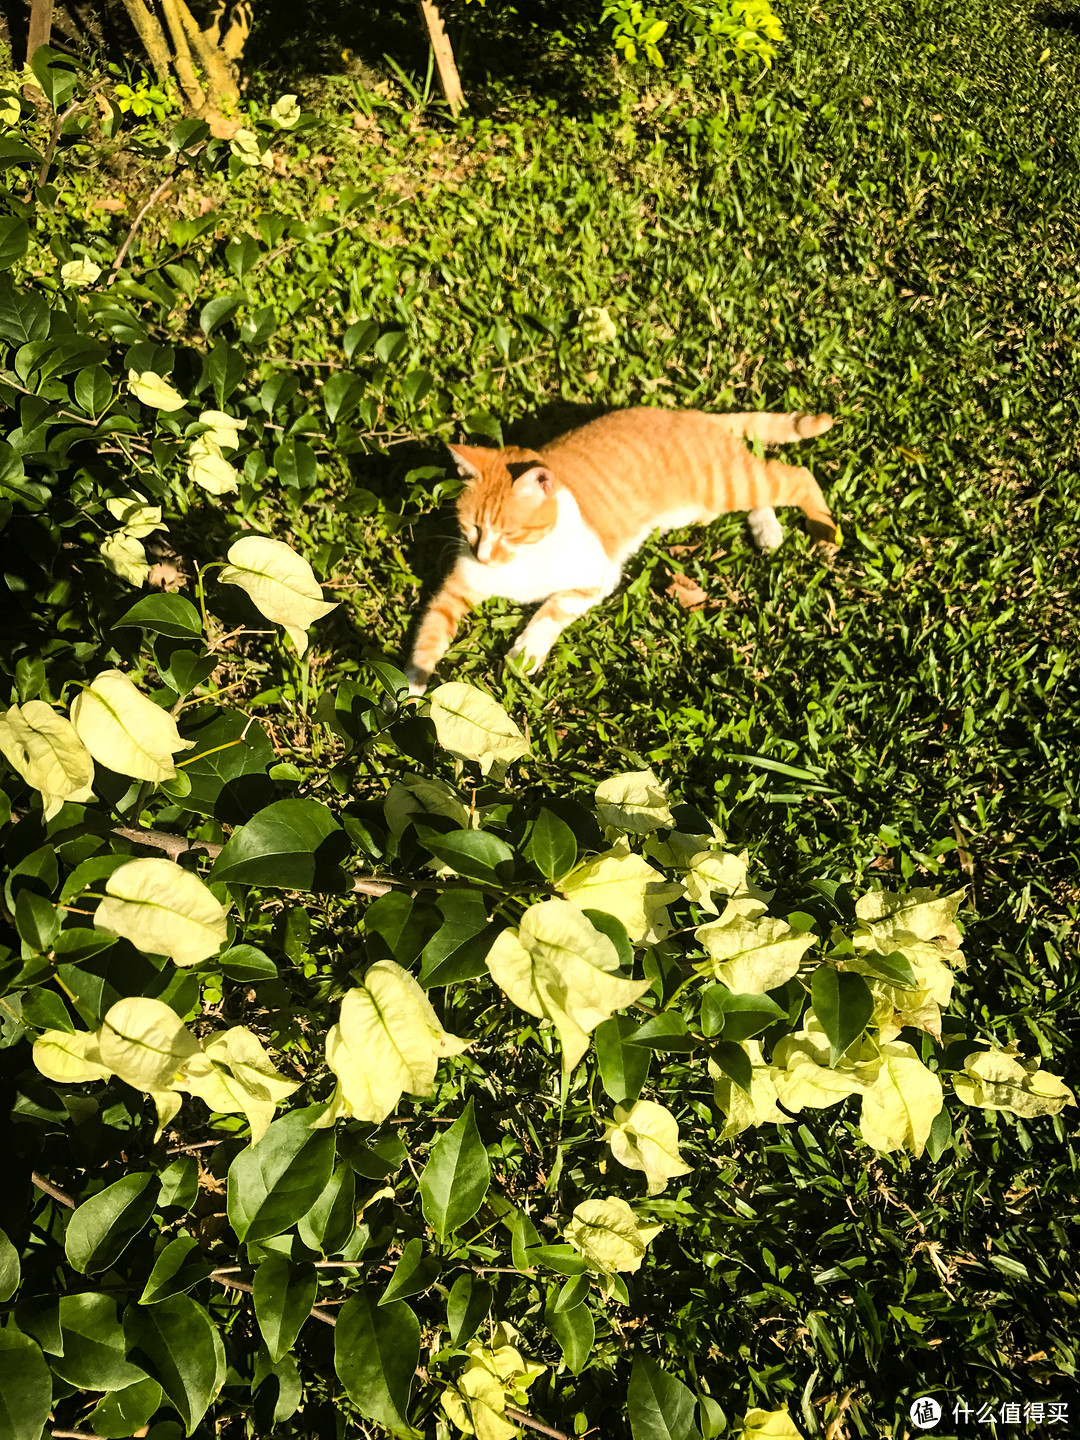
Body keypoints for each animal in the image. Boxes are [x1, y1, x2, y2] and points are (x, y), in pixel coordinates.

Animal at [406, 408, 835, 694]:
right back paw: (768, 529)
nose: (484, 557)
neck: (523, 561)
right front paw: (412, 693)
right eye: (472, 527)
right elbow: (429, 635)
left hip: (726, 485)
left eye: (511, 533)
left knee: (795, 478)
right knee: (762, 492)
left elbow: (551, 611)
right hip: (707, 505)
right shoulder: (457, 589)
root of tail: (693, 413)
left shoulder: (596, 579)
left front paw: (526, 651)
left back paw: (827, 536)